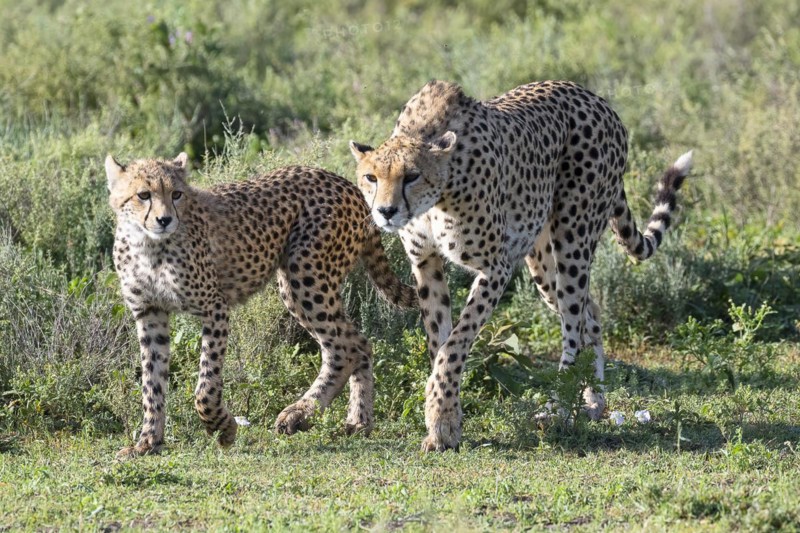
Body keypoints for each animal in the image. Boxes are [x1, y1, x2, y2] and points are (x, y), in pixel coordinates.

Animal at [105, 153, 416, 457]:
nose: (165, 220)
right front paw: (148, 442)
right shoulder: (150, 314)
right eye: (143, 195)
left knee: (348, 347)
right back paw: (355, 421)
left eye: (177, 194)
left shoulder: (214, 307)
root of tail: (341, 180)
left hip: (306, 276)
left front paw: (223, 429)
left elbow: (205, 385)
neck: (147, 245)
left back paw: (305, 413)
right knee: (354, 345)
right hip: (296, 286)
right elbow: (152, 383)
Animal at [350, 80, 693, 451]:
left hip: (573, 238)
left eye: (411, 175)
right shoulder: (426, 264)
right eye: (371, 177)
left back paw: (561, 408)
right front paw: (445, 419)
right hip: (542, 262)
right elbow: (439, 343)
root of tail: (595, 98)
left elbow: (454, 346)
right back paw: (593, 400)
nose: (385, 211)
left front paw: (440, 415)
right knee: (590, 314)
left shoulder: (495, 267)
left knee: (573, 327)